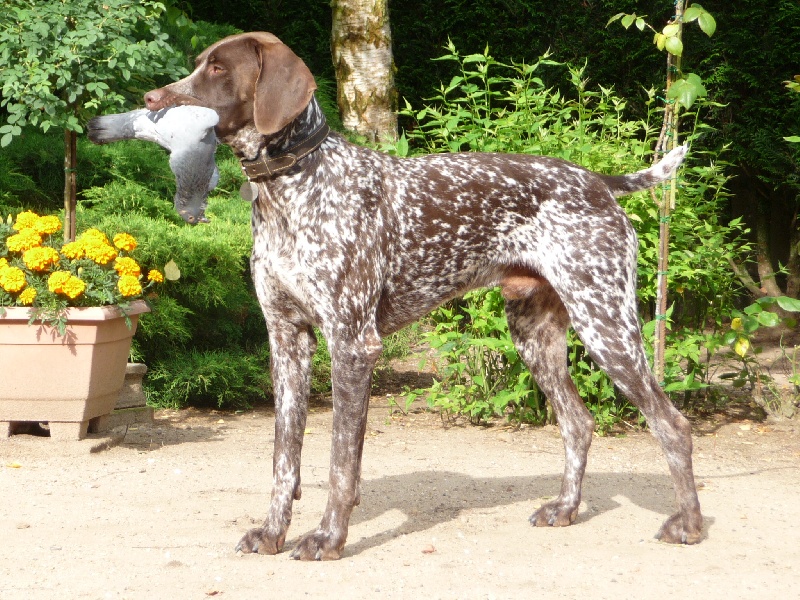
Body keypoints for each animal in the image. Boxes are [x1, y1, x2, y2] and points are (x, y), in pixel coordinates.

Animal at [142, 31, 700, 556]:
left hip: (606, 323)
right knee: (579, 423)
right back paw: (565, 508)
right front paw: (272, 532)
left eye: (219, 68)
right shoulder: (286, 341)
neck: (293, 187)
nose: (150, 99)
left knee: (672, 423)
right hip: (536, 335)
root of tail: (599, 182)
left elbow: (341, 462)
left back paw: (688, 524)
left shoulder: (351, 343)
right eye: (199, 63)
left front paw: (328, 538)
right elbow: (285, 458)